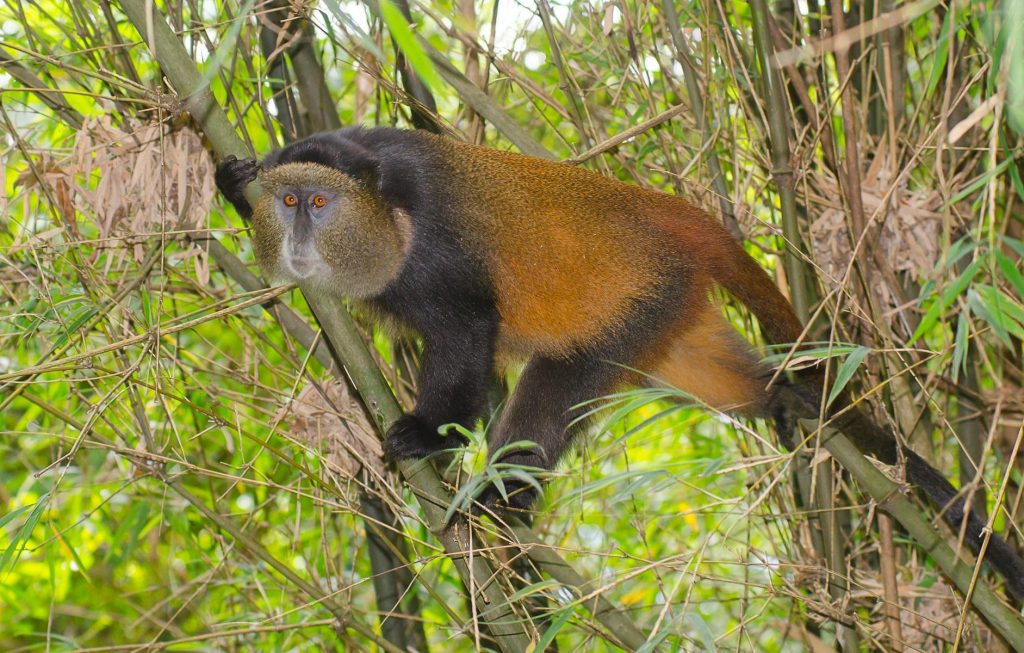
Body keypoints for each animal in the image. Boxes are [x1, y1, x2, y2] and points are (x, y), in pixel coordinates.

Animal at [216, 126, 1024, 601]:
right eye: (286, 200)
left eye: (319, 204)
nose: (295, 234)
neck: (383, 206)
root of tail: (672, 215)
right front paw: (231, 185)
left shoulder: (439, 260)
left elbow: (471, 344)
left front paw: (426, 435)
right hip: (671, 320)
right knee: (735, 383)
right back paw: (787, 400)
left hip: (637, 305)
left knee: (552, 391)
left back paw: (500, 506)